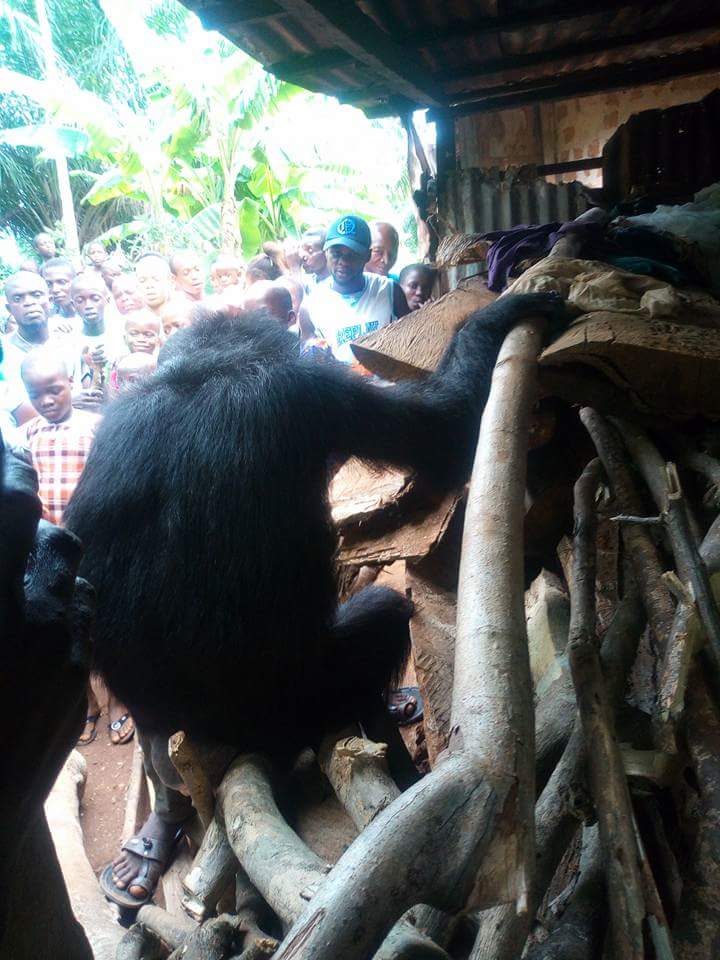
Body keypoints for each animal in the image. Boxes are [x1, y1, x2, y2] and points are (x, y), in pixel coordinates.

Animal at [66, 296, 564, 752]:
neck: (197, 373)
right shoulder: (315, 391)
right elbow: (444, 429)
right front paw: (501, 313)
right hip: (316, 693)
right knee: (386, 611)